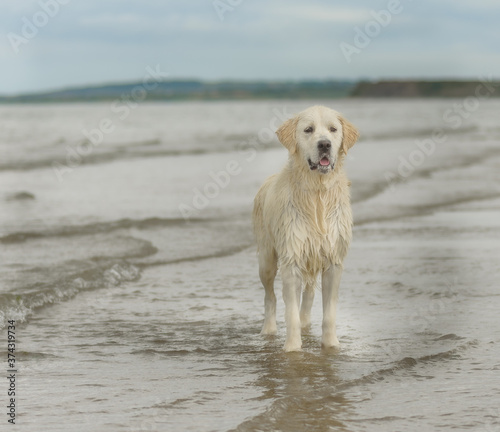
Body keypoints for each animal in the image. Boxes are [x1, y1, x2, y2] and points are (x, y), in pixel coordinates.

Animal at [254, 104, 360, 352]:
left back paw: (306, 324)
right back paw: (269, 330)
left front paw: (331, 345)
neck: (317, 193)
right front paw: (292, 348)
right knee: (270, 296)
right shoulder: (291, 260)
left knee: (309, 295)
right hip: (267, 258)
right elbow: (290, 312)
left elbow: (329, 313)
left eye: (333, 129)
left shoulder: (332, 262)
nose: (324, 145)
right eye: (308, 130)